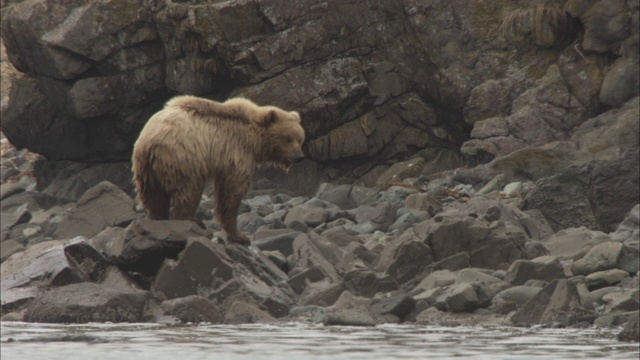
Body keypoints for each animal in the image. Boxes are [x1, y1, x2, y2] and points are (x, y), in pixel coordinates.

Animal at [131, 95, 306, 246]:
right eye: (288, 139)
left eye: (300, 139)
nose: (299, 157)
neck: (253, 140)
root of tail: (150, 142)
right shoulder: (235, 152)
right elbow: (232, 191)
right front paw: (239, 236)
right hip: (184, 158)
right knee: (189, 192)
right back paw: (189, 223)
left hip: (147, 171)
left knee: (155, 198)